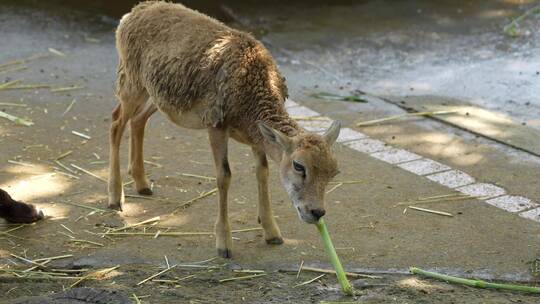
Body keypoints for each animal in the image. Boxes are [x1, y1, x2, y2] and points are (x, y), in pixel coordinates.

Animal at [107, 1, 340, 258]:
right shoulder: (216, 125)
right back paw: (115, 198)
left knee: (138, 120)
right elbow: (224, 176)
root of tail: (133, 13)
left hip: (156, 95)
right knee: (116, 122)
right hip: (131, 81)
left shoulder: (256, 136)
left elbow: (262, 171)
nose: (316, 212)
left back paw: (143, 184)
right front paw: (224, 244)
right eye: (299, 166)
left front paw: (272, 233)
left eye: (334, 172)